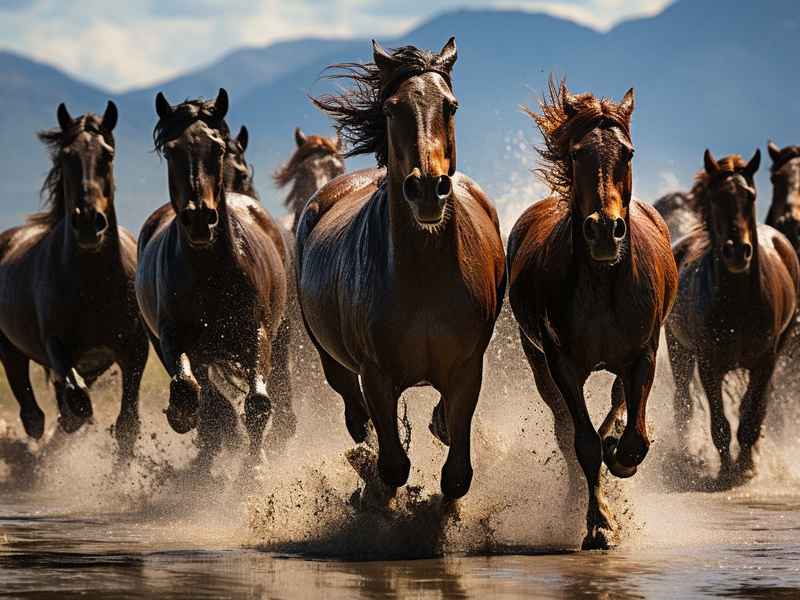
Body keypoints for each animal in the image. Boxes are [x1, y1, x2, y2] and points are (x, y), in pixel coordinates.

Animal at [0, 101, 149, 460]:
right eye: (67, 155)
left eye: (108, 154)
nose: (88, 223)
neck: (93, 284)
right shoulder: (57, 347)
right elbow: (77, 404)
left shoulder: (134, 350)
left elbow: (127, 425)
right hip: (10, 347)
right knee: (32, 409)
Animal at [135, 89, 295, 467]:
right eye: (171, 150)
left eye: (218, 149)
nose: (199, 219)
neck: (210, 273)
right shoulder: (173, 337)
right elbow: (189, 389)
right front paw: (184, 419)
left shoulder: (256, 333)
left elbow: (258, 402)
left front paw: (255, 467)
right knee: (206, 395)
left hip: (282, 332)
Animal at [298, 38, 506, 501]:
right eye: (392, 109)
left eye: (450, 106)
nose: (428, 189)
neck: (423, 277)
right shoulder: (376, 376)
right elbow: (393, 464)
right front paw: (375, 494)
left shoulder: (467, 369)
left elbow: (457, 473)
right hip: (331, 360)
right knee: (355, 414)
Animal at [507, 80, 678, 549]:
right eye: (578, 153)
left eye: (629, 153)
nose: (604, 230)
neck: (603, 282)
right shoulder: (561, 363)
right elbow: (580, 442)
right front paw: (599, 524)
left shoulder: (644, 354)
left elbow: (635, 436)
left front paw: (621, 456)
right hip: (538, 362)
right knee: (567, 431)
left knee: (619, 400)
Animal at [665, 150, 799, 488]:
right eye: (715, 198)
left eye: (750, 196)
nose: (738, 251)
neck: (739, 301)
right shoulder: (708, 364)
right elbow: (719, 421)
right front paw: (726, 469)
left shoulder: (766, 362)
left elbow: (752, 414)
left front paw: (746, 467)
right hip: (678, 349)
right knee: (683, 401)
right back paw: (687, 457)